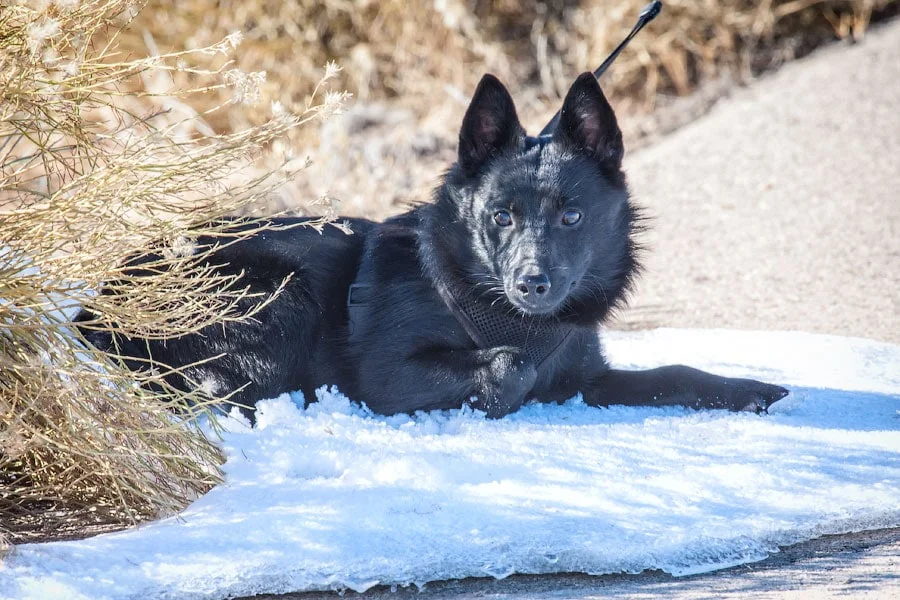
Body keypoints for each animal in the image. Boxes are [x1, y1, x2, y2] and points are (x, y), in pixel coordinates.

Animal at [77, 72, 788, 419]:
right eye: (501, 217)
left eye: (572, 215)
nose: (532, 283)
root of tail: (96, 308)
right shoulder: (388, 373)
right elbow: (511, 365)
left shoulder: (588, 377)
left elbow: (677, 373)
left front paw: (746, 388)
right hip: (279, 290)